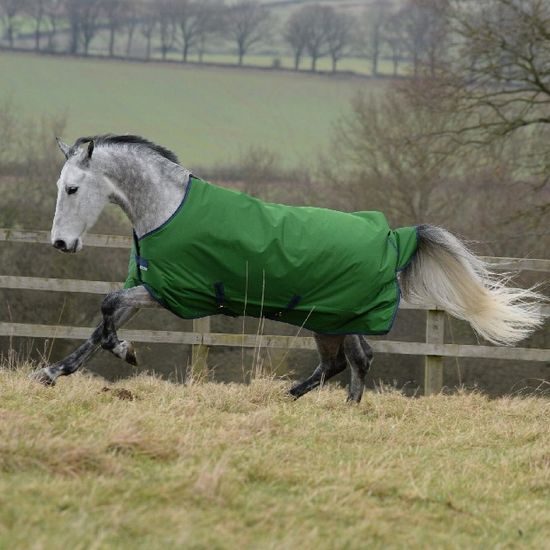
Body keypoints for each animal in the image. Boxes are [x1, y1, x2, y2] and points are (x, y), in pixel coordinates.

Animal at [32, 135, 544, 402]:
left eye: (73, 188)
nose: (61, 243)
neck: (166, 209)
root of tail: (394, 238)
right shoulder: (148, 288)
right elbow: (99, 326)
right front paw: (53, 373)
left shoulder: (172, 292)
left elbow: (105, 309)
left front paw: (128, 352)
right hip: (332, 318)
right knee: (346, 362)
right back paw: (295, 398)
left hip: (336, 316)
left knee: (354, 361)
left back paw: (330, 407)